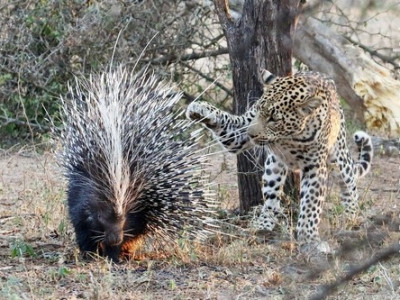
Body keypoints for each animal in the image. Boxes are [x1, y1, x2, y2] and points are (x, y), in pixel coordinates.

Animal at [186, 69, 374, 251]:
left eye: (273, 118)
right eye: (258, 110)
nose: (251, 135)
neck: (289, 137)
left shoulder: (315, 167)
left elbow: (311, 205)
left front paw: (309, 238)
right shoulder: (240, 132)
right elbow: (229, 124)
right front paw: (199, 108)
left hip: (338, 155)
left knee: (349, 181)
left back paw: (352, 216)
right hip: (273, 166)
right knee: (272, 200)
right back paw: (262, 225)